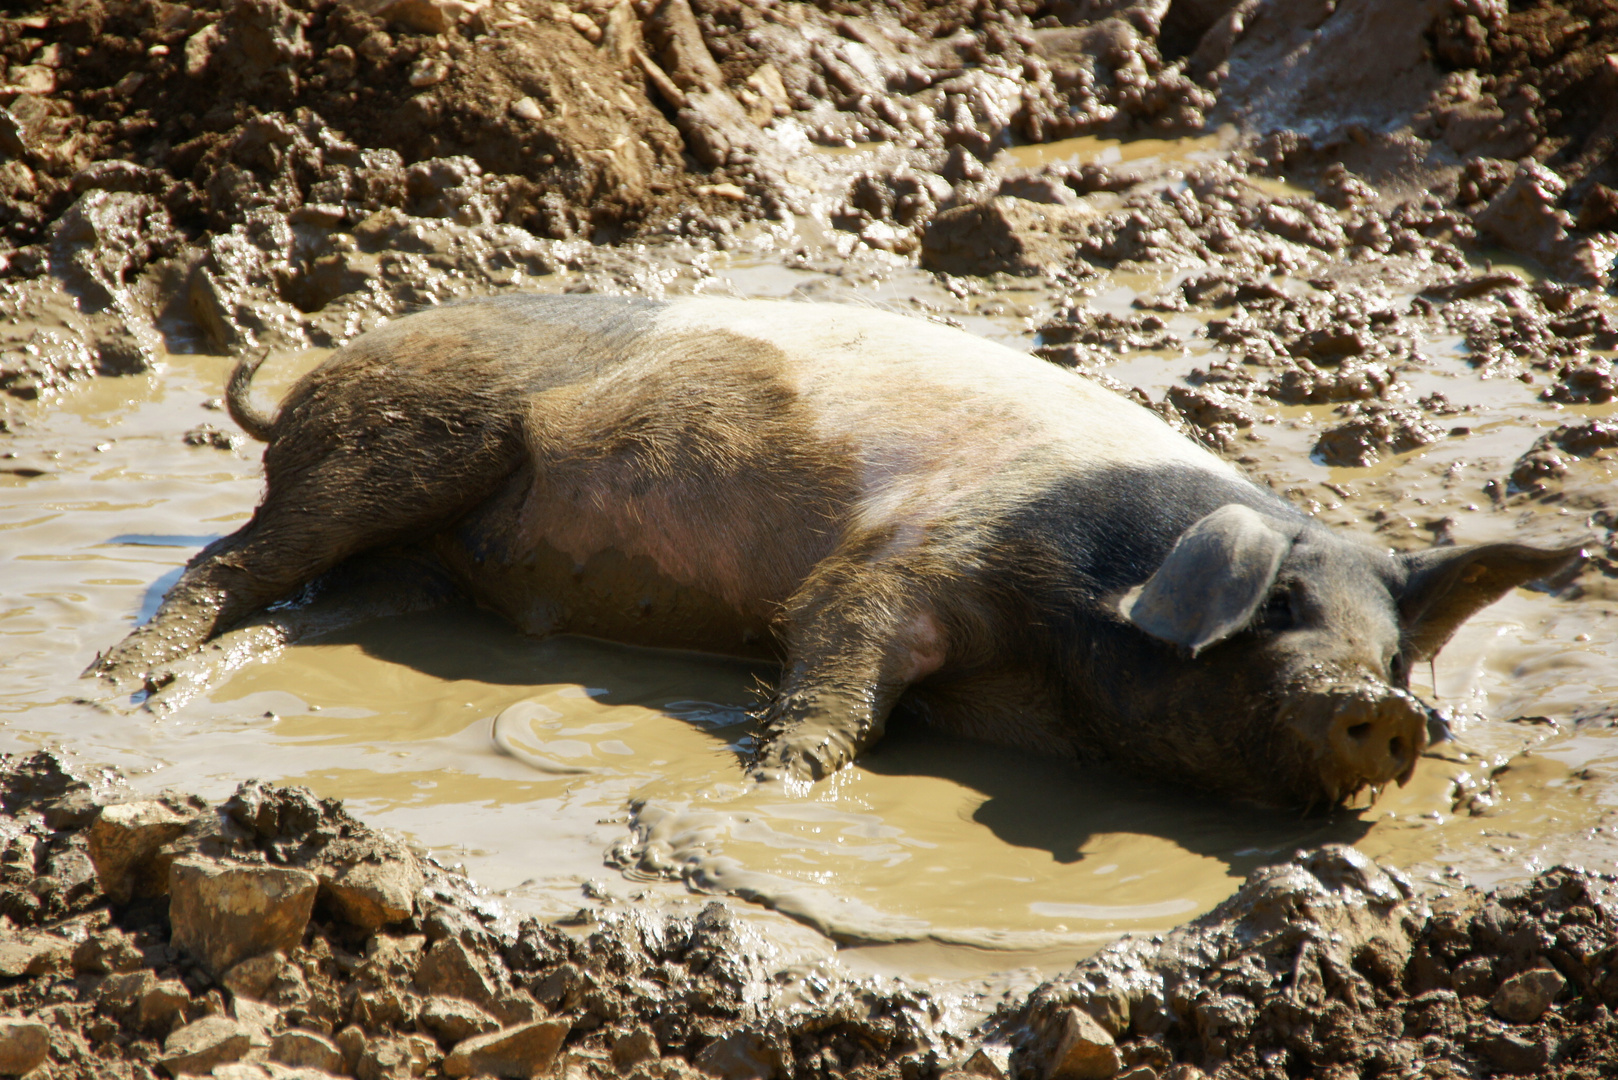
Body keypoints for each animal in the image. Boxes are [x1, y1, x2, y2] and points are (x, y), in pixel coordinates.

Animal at [88, 297, 1579, 809]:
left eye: (1389, 650)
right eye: (1272, 613)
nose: (1385, 710)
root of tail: (329, 367)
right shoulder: (911, 560)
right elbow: (840, 647)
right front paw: (783, 786)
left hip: (418, 554)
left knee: (308, 608)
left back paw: (169, 697)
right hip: (402, 442)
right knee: (230, 560)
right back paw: (112, 690)